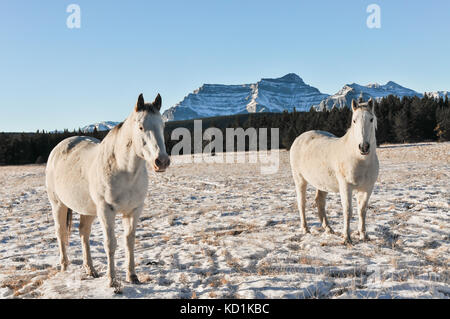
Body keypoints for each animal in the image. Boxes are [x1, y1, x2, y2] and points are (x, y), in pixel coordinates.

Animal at [45, 93, 170, 288]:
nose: (162, 161)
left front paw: (132, 276)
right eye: (141, 127)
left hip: (88, 210)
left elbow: (129, 242)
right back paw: (65, 267)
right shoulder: (106, 210)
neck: (125, 171)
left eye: (162, 126)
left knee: (83, 233)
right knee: (60, 233)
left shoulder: (134, 210)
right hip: (58, 204)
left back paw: (90, 269)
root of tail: (59, 147)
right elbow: (110, 244)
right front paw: (112, 281)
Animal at [290, 100, 378, 245]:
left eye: (371, 119)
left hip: (322, 184)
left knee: (320, 202)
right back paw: (305, 229)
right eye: (354, 120)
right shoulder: (346, 186)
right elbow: (348, 211)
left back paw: (328, 228)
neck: (360, 160)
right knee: (301, 203)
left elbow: (362, 211)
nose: (364, 147)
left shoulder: (367, 188)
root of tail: (300, 138)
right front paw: (346, 238)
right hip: (299, 179)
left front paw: (364, 236)